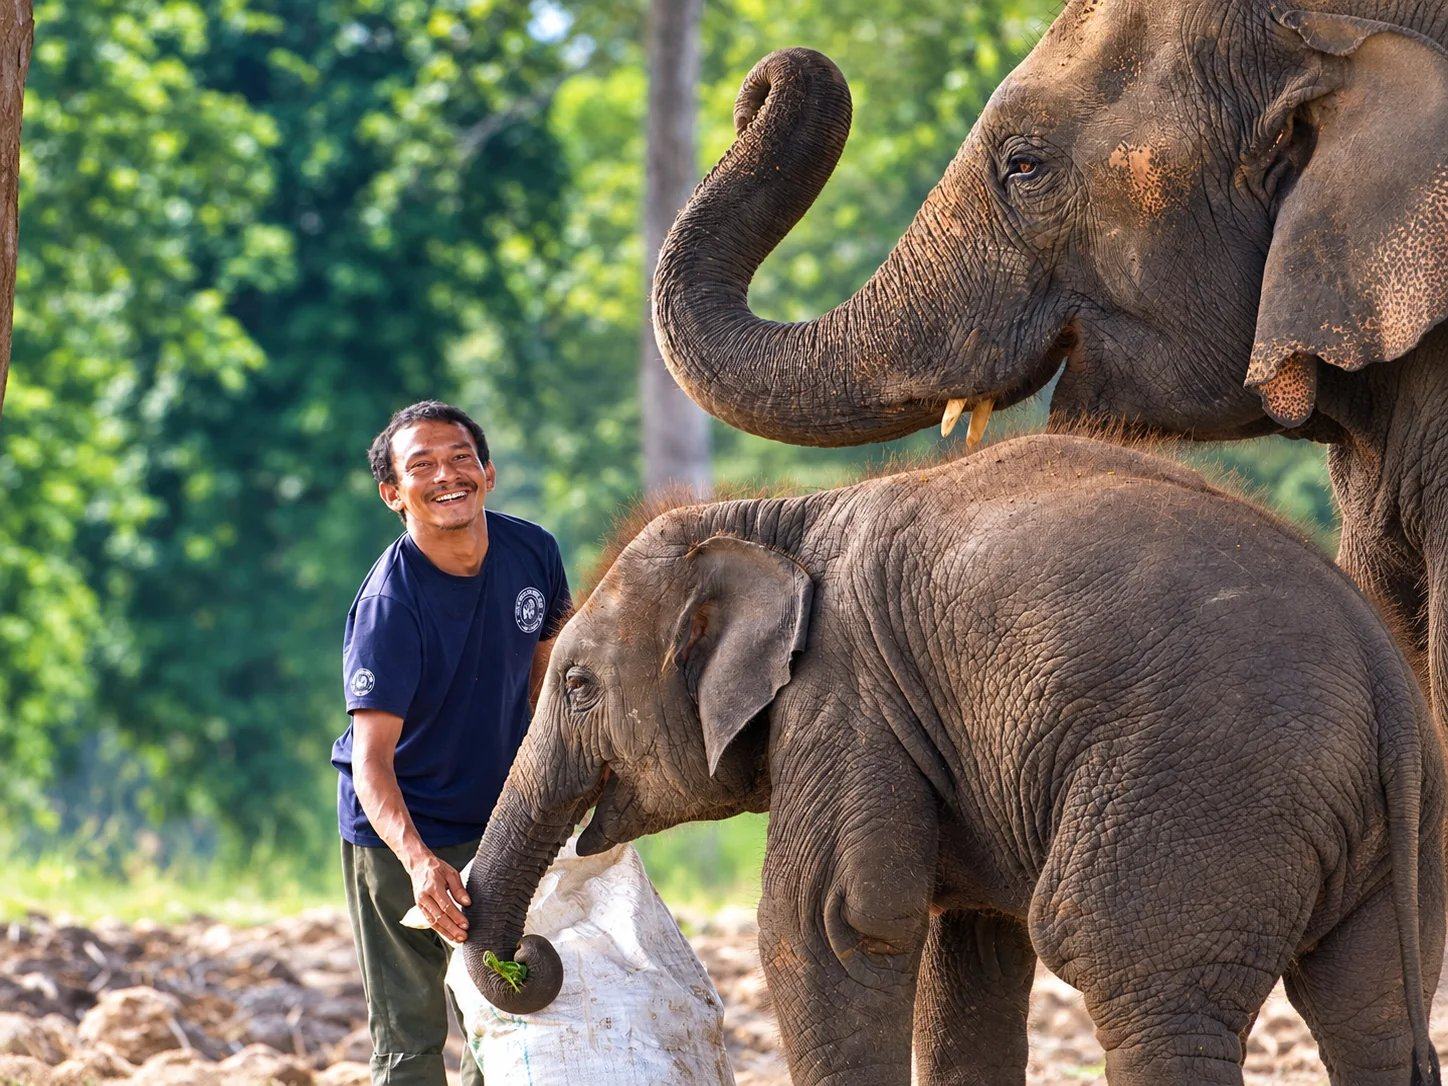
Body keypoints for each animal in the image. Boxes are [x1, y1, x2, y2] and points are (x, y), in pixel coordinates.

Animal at [462, 434, 1445, 1086]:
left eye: (577, 685)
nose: (532, 960)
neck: (779, 519)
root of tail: (1383, 672)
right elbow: (967, 946)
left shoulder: (847, 696)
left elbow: (826, 923)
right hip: (1386, 828)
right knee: (1371, 1015)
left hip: (1206, 790)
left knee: (1145, 993)